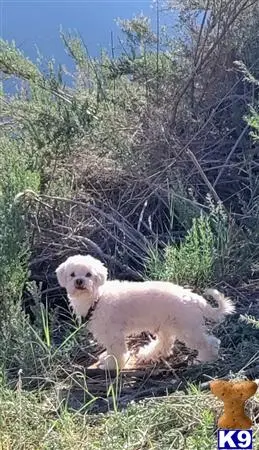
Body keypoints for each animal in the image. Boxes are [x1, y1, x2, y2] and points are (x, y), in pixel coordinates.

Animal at [55, 255, 237, 370]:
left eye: (89, 274)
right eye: (72, 274)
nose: (79, 281)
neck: (97, 298)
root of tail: (194, 298)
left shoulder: (113, 333)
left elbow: (117, 352)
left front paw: (111, 365)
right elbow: (111, 350)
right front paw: (106, 359)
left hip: (187, 328)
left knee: (211, 342)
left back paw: (204, 360)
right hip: (167, 325)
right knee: (165, 344)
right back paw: (149, 353)